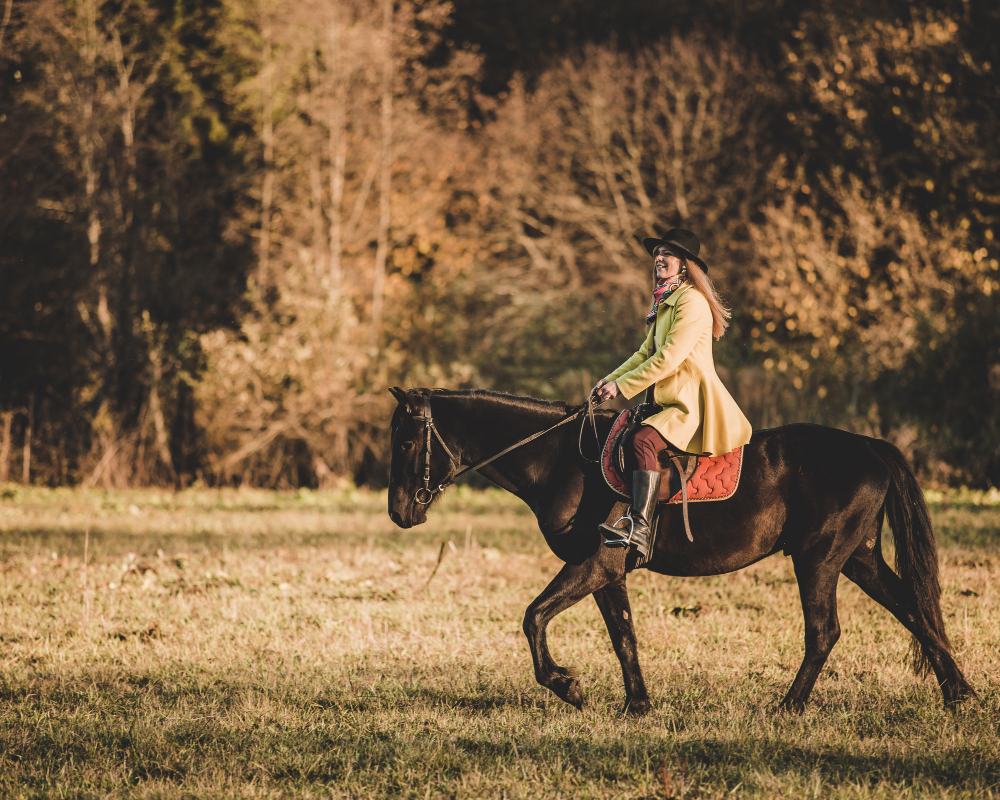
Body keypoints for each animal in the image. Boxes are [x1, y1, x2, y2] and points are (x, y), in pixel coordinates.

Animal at [386, 386, 972, 712]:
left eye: (407, 441)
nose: (399, 512)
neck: (564, 458)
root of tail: (868, 447)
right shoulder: (609, 570)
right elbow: (623, 635)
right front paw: (637, 705)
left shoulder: (592, 563)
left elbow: (534, 616)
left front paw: (567, 686)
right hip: (858, 557)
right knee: (914, 610)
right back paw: (958, 693)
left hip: (820, 559)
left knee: (825, 631)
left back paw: (787, 708)